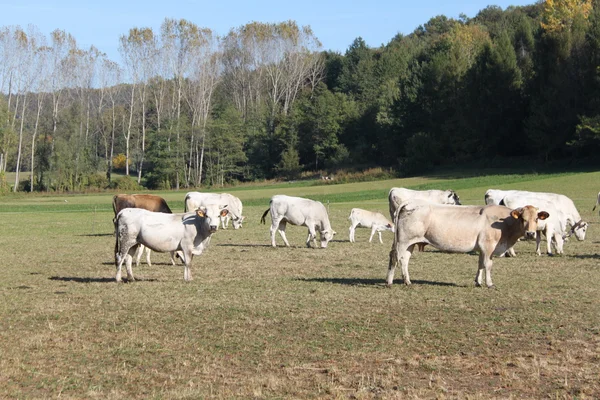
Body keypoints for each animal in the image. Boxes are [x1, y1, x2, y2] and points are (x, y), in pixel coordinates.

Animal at [390, 202, 548, 290]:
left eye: (536, 219)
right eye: (523, 219)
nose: (530, 233)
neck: (503, 223)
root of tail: (410, 203)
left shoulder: (482, 249)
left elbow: (480, 264)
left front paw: (478, 282)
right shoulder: (488, 246)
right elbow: (488, 265)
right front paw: (489, 284)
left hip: (408, 243)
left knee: (400, 259)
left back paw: (399, 281)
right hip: (403, 241)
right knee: (398, 259)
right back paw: (397, 281)